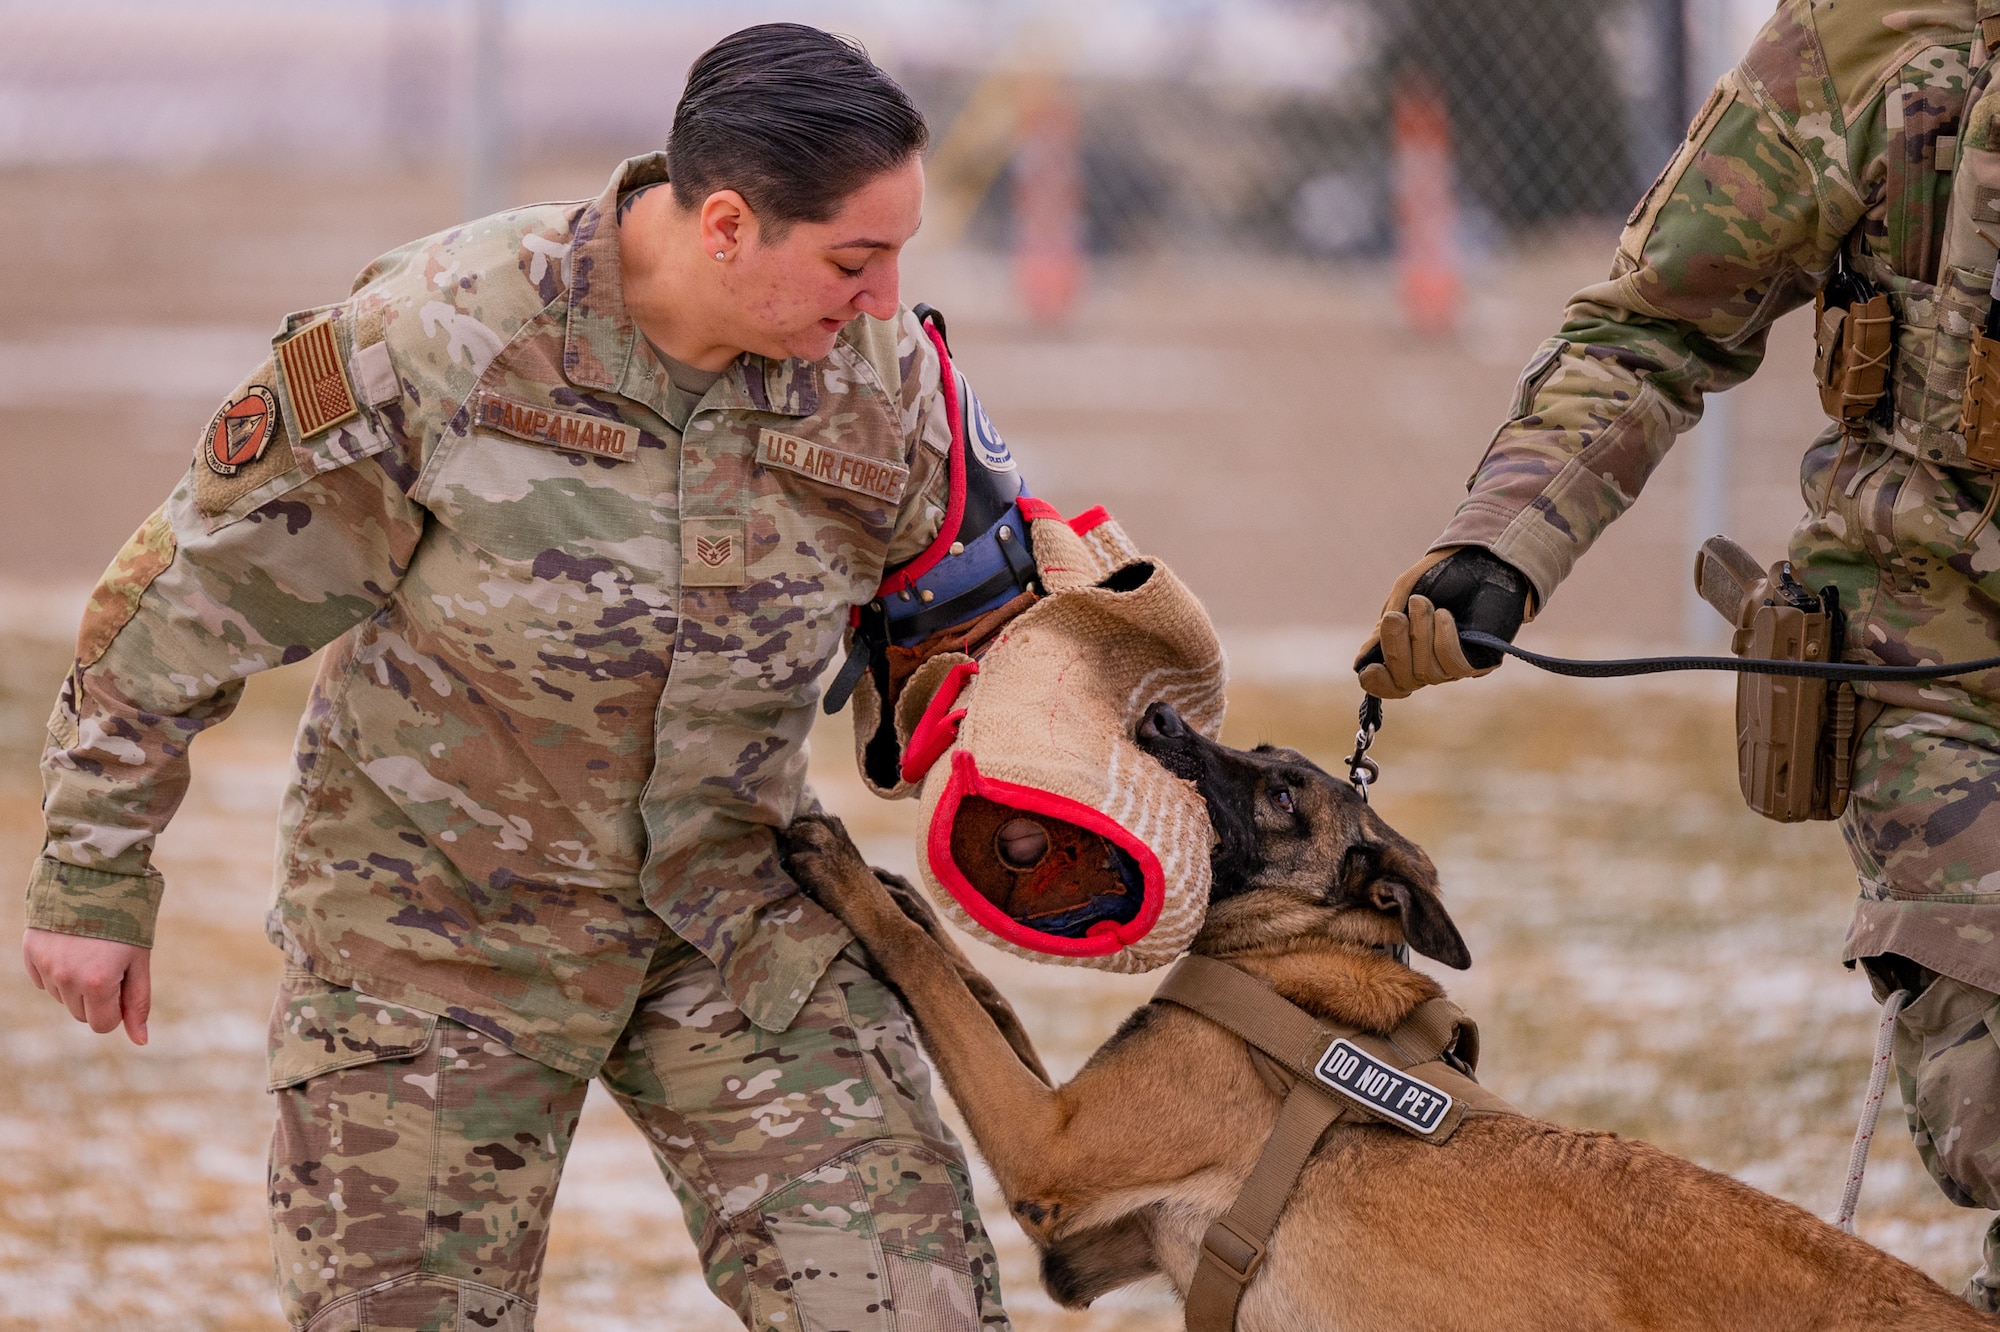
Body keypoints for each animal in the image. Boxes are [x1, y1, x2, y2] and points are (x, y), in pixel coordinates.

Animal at [776, 700, 1984, 1320]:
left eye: (1277, 791)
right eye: (1259, 755)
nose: (1156, 710)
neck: (1294, 961)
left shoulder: (1049, 1150)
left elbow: (938, 986)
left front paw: (841, 870)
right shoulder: (1087, 1217)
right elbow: (974, 989)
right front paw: (900, 893)